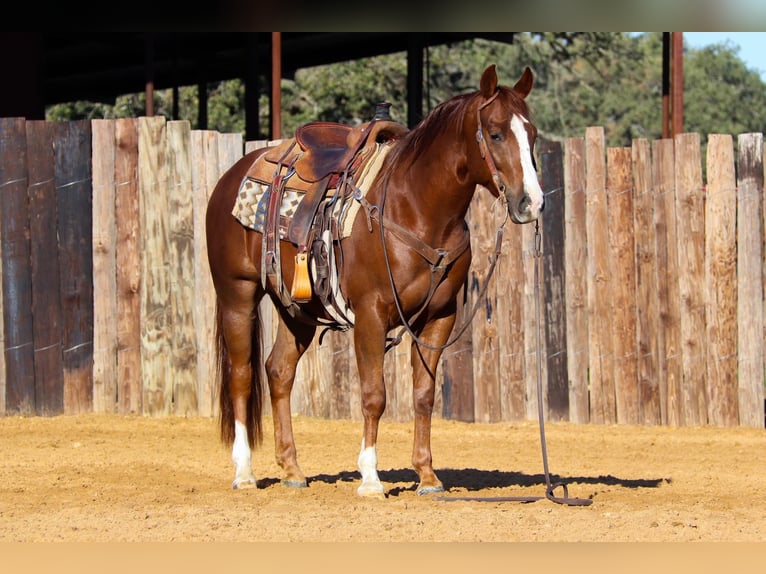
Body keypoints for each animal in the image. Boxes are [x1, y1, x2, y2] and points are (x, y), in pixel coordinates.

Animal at [207, 65, 544, 500]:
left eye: (532, 133)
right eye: (497, 133)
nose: (532, 203)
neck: (415, 206)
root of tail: (232, 177)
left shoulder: (440, 317)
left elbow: (423, 395)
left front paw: (428, 476)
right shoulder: (370, 313)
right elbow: (374, 396)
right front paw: (370, 478)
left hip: (295, 309)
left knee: (278, 372)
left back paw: (293, 469)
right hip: (238, 294)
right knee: (242, 375)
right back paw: (245, 472)